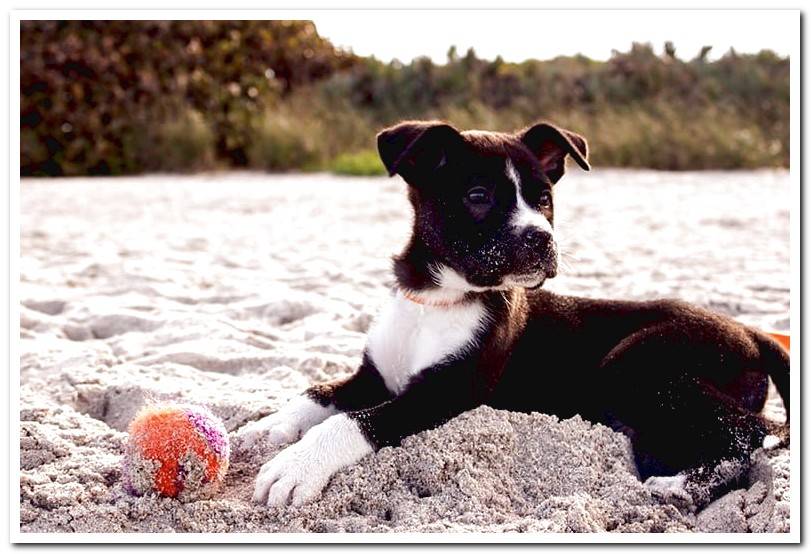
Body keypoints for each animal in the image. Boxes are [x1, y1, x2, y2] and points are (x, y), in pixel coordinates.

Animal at [241, 121, 788, 508]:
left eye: (544, 199)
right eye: (478, 197)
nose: (541, 238)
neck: (438, 299)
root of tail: (749, 331)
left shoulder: (447, 392)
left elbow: (355, 421)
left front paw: (297, 465)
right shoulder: (374, 374)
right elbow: (318, 391)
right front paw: (266, 427)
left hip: (634, 366)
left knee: (755, 433)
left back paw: (680, 488)